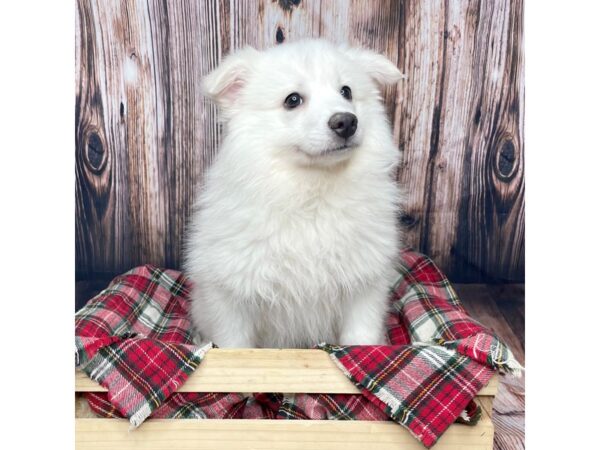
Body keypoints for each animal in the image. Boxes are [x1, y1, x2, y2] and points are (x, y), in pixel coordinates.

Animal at [185, 39, 406, 348]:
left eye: (346, 92)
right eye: (292, 100)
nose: (346, 122)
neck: (310, 187)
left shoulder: (364, 285)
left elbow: (360, 338)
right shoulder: (230, 294)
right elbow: (234, 345)